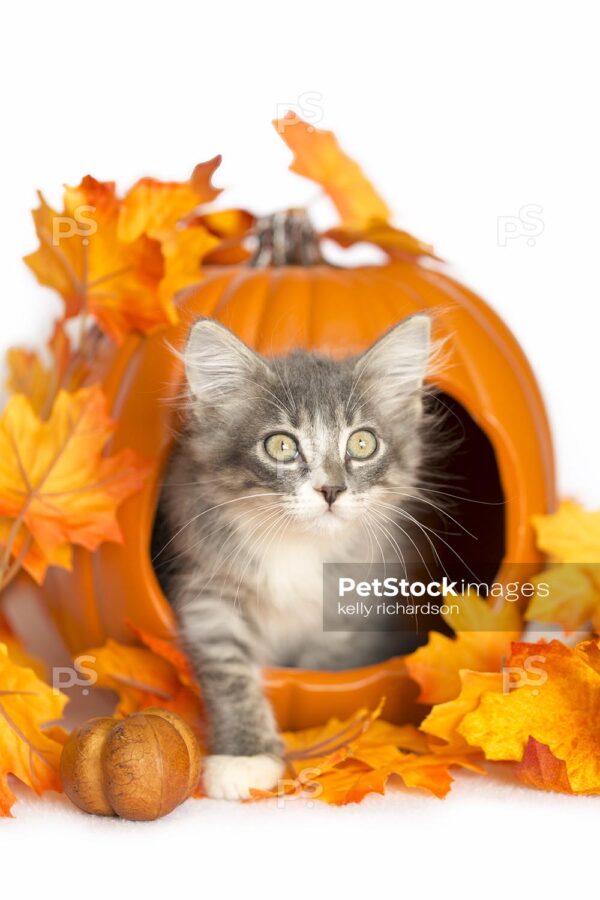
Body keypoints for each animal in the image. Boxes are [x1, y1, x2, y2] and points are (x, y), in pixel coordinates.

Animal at [155, 312, 434, 800]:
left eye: (362, 444)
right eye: (282, 446)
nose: (332, 490)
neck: (298, 545)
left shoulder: (350, 611)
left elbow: (321, 671)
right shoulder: (209, 593)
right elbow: (230, 673)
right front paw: (245, 756)